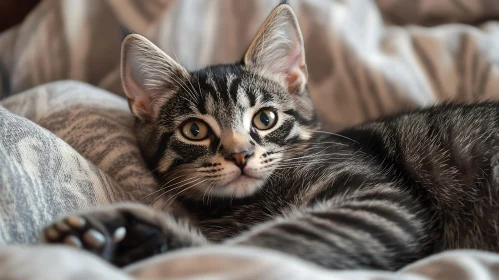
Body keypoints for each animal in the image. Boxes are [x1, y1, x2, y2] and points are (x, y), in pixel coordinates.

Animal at [45, 1, 499, 270]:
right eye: (194, 130)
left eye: (264, 119)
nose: (240, 154)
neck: (245, 206)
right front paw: (125, 238)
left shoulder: (381, 201)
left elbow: (254, 246)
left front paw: (137, 236)